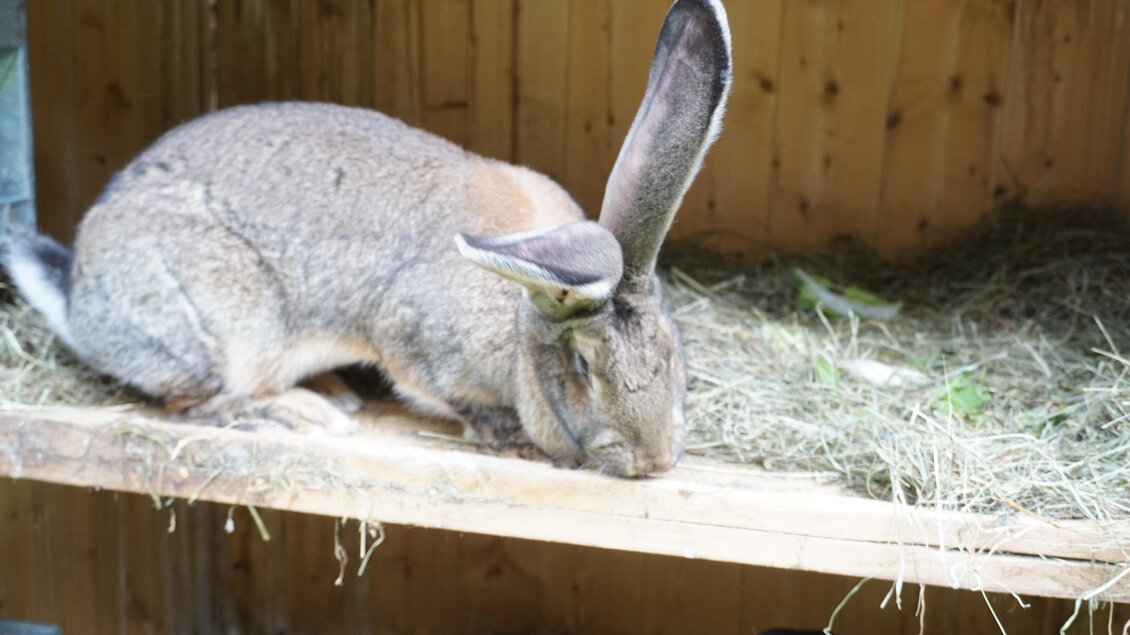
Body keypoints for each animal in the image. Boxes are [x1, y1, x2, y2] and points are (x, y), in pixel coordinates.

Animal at [5, 0, 732, 477]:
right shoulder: (415, 344)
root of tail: (77, 296)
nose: (655, 460)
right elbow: (451, 394)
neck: (521, 319)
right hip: (218, 321)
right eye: (584, 369)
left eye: (674, 352)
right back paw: (299, 413)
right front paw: (515, 440)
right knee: (193, 400)